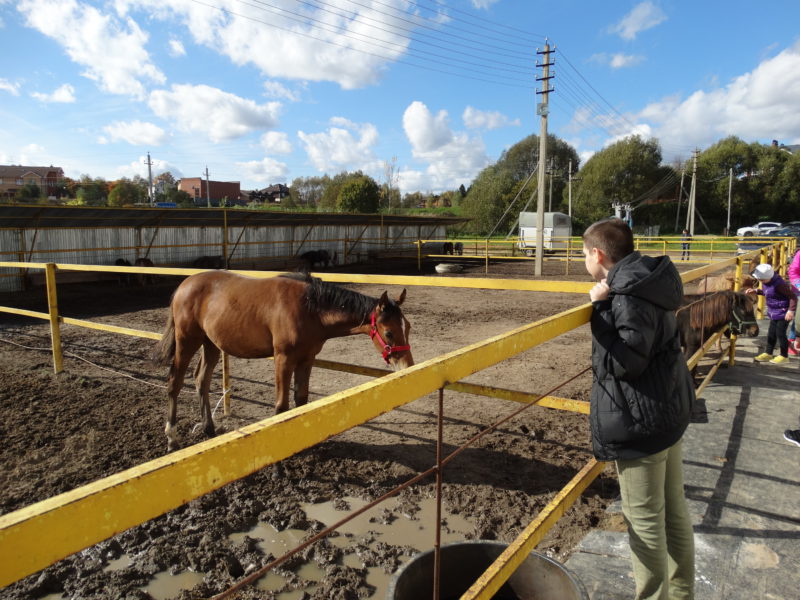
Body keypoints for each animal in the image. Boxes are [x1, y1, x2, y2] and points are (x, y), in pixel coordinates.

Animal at [152, 270, 412, 450]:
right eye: (389, 332)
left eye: (407, 327)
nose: (408, 366)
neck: (310, 309)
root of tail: (185, 285)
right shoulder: (283, 359)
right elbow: (281, 407)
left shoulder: (307, 359)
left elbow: (302, 401)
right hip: (187, 341)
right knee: (174, 383)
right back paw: (172, 439)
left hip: (211, 344)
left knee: (201, 380)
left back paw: (208, 429)